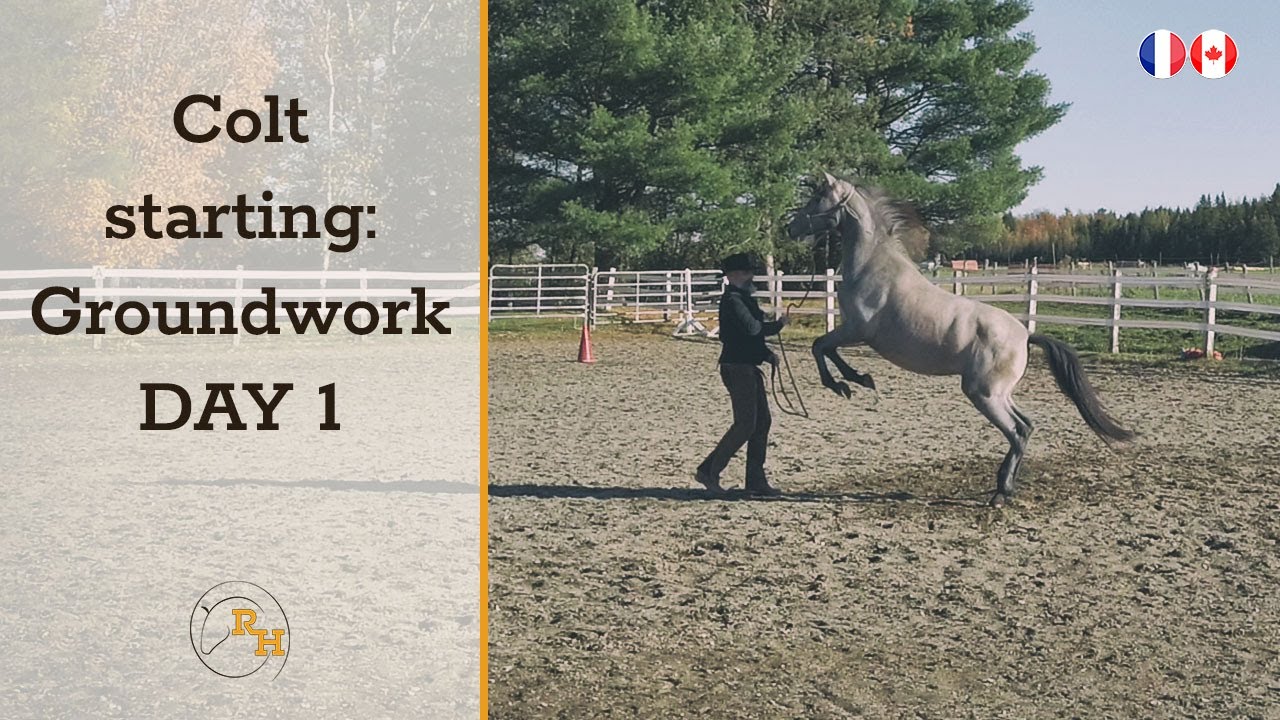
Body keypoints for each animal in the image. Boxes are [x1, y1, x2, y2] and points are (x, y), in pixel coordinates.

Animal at [786, 173, 1135, 506]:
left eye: (817, 198)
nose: (791, 227)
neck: (872, 266)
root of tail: (1026, 335)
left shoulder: (857, 330)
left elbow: (821, 347)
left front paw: (847, 383)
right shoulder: (852, 332)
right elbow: (825, 349)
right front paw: (855, 380)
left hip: (984, 394)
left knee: (1016, 432)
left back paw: (1000, 494)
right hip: (999, 394)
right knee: (1026, 426)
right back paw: (1005, 488)